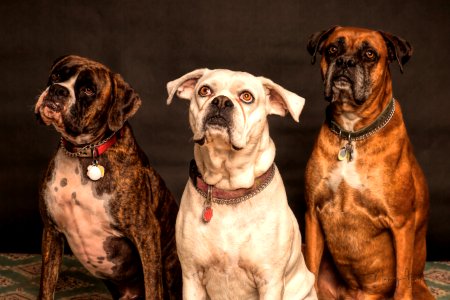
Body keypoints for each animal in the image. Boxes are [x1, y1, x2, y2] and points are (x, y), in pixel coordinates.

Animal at [34, 55, 181, 298]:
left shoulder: (146, 234)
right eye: (56, 76)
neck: (83, 152)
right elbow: (46, 286)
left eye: (88, 90)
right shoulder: (51, 232)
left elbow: (153, 288)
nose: (57, 90)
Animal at [165, 69, 316, 298]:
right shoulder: (191, 277)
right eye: (204, 90)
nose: (221, 101)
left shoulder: (270, 281)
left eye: (246, 97)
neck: (228, 186)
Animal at [304, 27, 434, 298]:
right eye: (332, 49)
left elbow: (402, 282)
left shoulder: (401, 224)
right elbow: (309, 267)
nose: (345, 62)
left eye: (369, 54)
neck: (352, 132)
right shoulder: (312, 213)